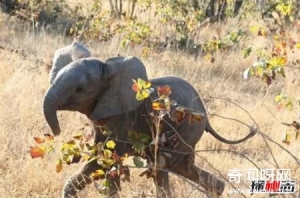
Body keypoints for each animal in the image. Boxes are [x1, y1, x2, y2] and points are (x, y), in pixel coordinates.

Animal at [42, 56, 255, 198]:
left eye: (79, 89)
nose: (56, 133)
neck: (107, 68)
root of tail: (205, 113)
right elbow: (102, 157)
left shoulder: (120, 117)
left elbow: (106, 159)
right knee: (183, 168)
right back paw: (217, 190)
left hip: (186, 128)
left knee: (160, 165)